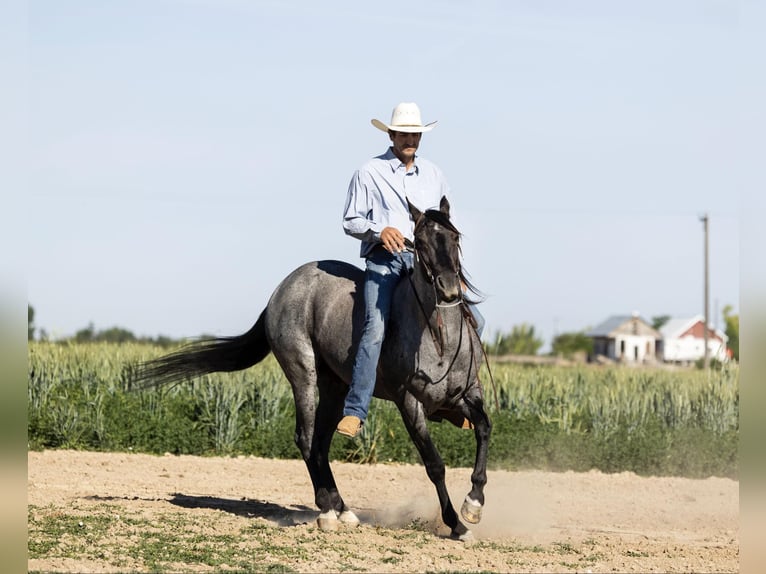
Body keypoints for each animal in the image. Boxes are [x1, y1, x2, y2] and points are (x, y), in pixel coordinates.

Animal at [137, 197, 492, 540]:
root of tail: (282, 289)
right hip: (302, 374)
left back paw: (342, 509)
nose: (449, 288)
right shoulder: (409, 404)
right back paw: (327, 511)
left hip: (335, 386)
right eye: (419, 241)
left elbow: (484, 429)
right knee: (306, 438)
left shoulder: (467, 395)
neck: (438, 337)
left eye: (455, 237)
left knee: (320, 442)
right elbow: (434, 464)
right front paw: (456, 524)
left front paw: (473, 504)